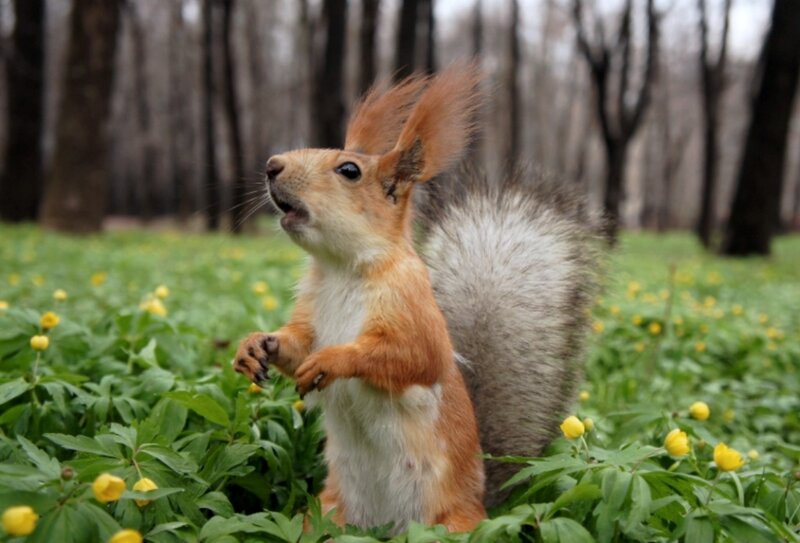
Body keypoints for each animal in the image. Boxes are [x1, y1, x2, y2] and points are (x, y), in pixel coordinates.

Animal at [233, 64, 599, 534]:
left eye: (349, 170)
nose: (271, 165)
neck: (342, 269)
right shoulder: (311, 310)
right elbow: (296, 344)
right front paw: (254, 346)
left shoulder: (412, 306)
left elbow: (413, 357)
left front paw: (334, 360)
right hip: (328, 511)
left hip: (448, 524)